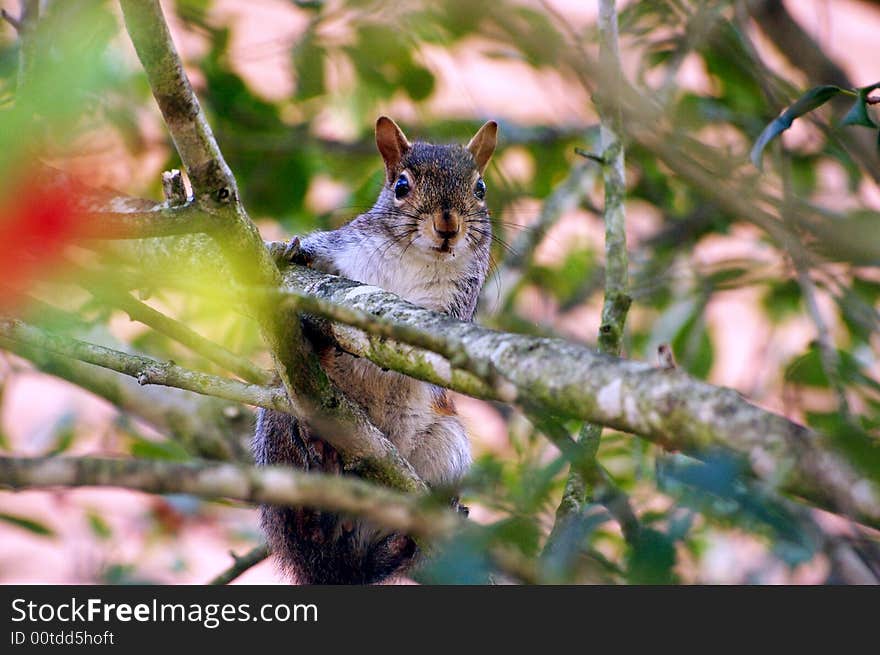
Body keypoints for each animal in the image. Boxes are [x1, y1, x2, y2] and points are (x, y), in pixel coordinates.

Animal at [254, 114, 498, 584]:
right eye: (401, 185)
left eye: (479, 189)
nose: (447, 226)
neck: (418, 259)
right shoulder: (341, 248)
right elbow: (312, 256)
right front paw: (286, 253)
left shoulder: (462, 298)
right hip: (278, 430)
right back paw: (319, 475)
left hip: (447, 450)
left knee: (370, 559)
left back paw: (405, 539)